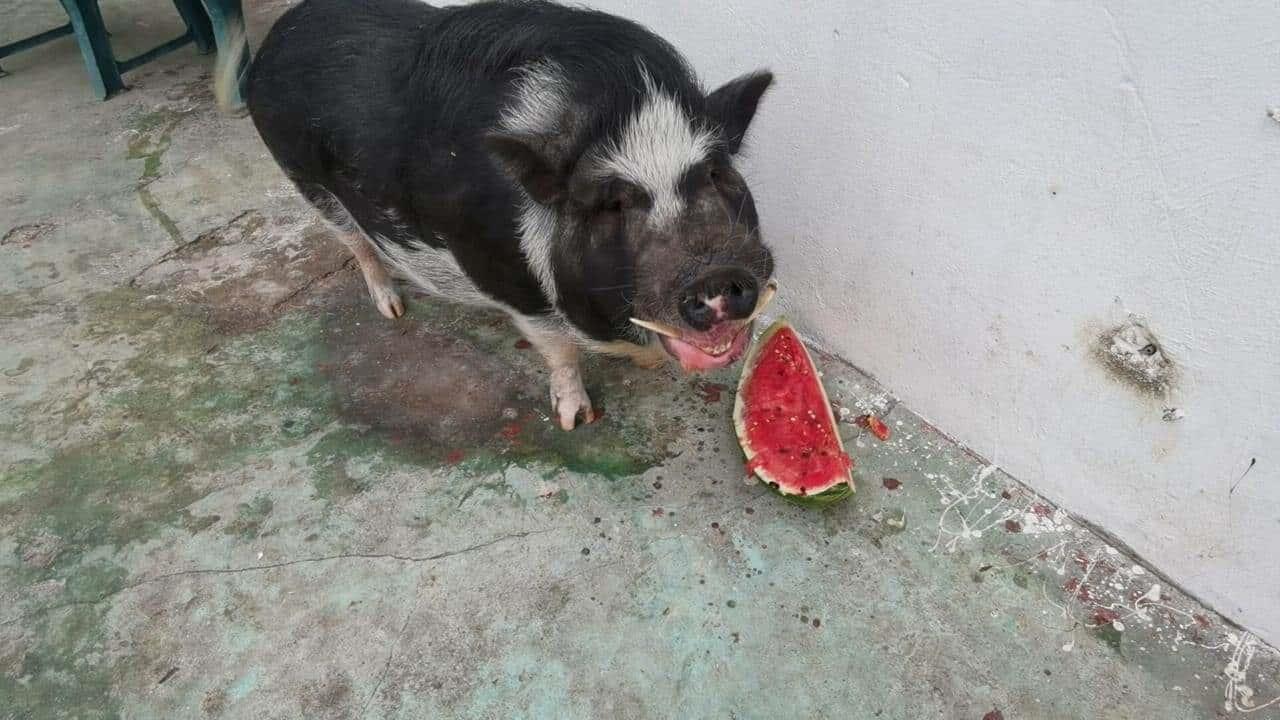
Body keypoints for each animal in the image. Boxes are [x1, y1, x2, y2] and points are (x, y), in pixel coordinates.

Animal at [218, 0, 773, 425]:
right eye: (610, 202)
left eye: (715, 174)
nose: (715, 273)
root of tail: (283, 29)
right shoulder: (516, 288)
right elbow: (560, 352)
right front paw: (577, 420)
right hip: (306, 182)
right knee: (357, 244)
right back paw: (392, 309)